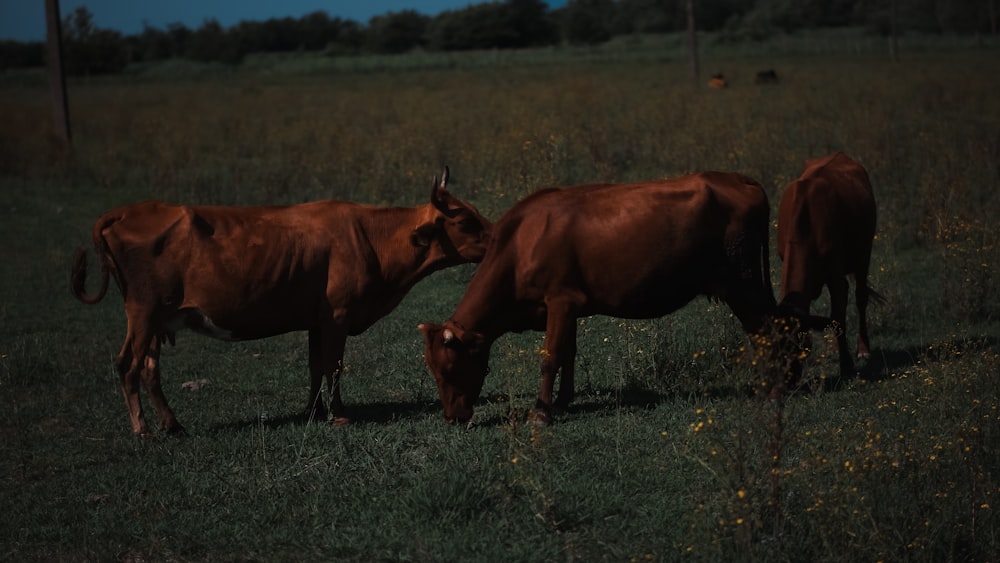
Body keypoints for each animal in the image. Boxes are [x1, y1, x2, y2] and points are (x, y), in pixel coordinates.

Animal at [71, 167, 492, 436]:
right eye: (466, 221)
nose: (500, 232)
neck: (371, 238)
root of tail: (128, 210)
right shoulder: (338, 316)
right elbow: (334, 367)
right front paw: (339, 415)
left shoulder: (317, 320)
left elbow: (314, 367)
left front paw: (313, 412)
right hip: (142, 313)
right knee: (128, 365)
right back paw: (143, 431)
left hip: (159, 319)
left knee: (148, 368)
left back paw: (173, 425)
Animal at [418, 173, 784, 428]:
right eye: (432, 369)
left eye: (449, 368)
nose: (451, 417)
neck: (522, 244)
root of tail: (738, 178)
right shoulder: (568, 308)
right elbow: (568, 353)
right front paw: (562, 401)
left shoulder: (561, 300)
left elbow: (551, 356)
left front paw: (541, 413)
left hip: (744, 283)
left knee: (768, 332)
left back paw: (772, 391)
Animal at [776, 152, 880, 376]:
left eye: (795, 347)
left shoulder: (836, 276)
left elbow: (838, 317)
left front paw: (847, 364)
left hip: (864, 252)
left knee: (860, 298)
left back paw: (863, 349)